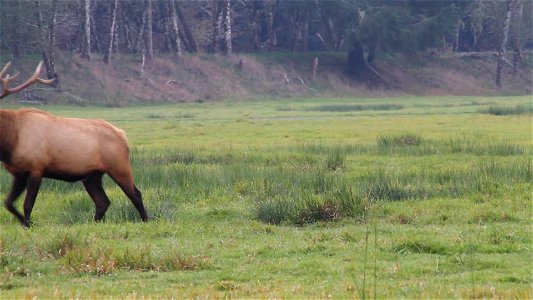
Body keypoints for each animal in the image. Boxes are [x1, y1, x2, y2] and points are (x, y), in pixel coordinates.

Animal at [1, 61, 148, 226]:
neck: (10, 145)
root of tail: (122, 135)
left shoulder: (36, 168)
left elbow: (27, 205)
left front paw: (28, 223)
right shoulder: (18, 173)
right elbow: (8, 203)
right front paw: (24, 222)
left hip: (119, 166)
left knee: (135, 194)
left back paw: (146, 220)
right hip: (92, 176)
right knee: (103, 201)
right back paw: (95, 222)